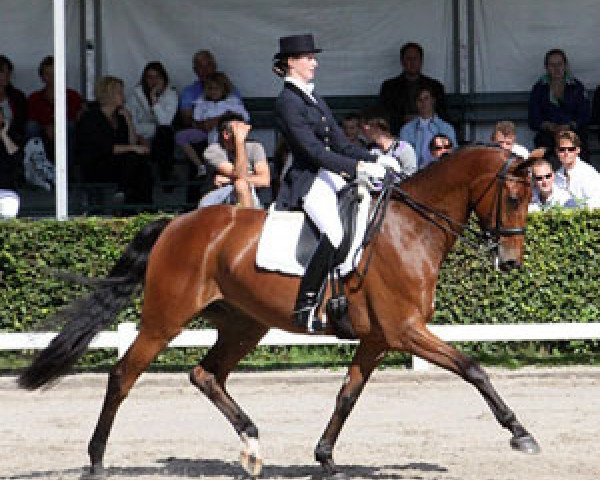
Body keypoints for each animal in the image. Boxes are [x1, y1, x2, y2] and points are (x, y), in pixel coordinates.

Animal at [21, 145, 540, 476]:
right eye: (515, 197)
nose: (510, 262)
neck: (411, 228)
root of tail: (176, 223)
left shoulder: (377, 337)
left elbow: (347, 395)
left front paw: (325, 456)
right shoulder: (405, 330)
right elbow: (472, 368)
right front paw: (520, 433)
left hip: (244, 324)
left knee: (205, 374)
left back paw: (251, 445)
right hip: (164, 319)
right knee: (123, 376)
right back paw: (96, 460)